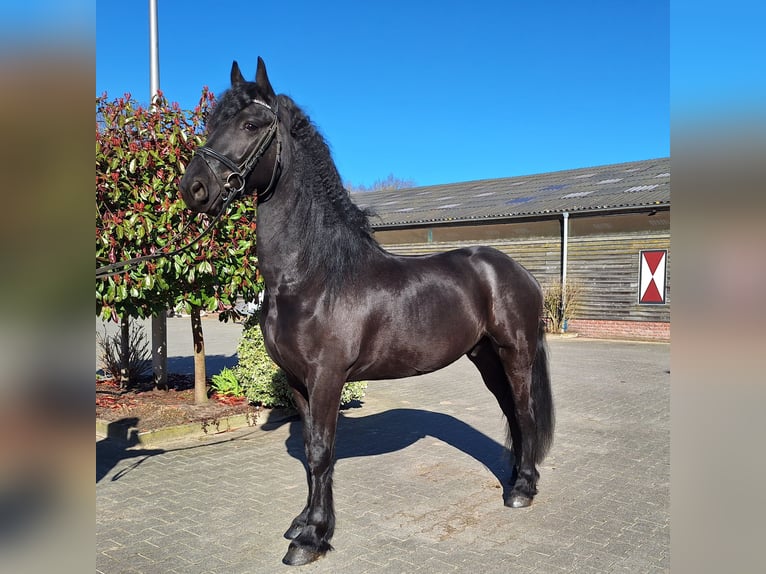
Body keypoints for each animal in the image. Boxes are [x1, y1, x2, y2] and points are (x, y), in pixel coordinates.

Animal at [179, 58, 555, 566]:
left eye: (252, 124)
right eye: (210, 123)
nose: (193, 188)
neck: (312, 275)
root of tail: (517, 271)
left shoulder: (327, 378)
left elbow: (321, 452)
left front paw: (312, 539)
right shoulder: (298, 380)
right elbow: (310, 451)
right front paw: (303, 523)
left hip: (515, 352)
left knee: (526, 412)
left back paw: (522, 490)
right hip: (485, 357)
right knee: (513, 414)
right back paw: (515, 480)